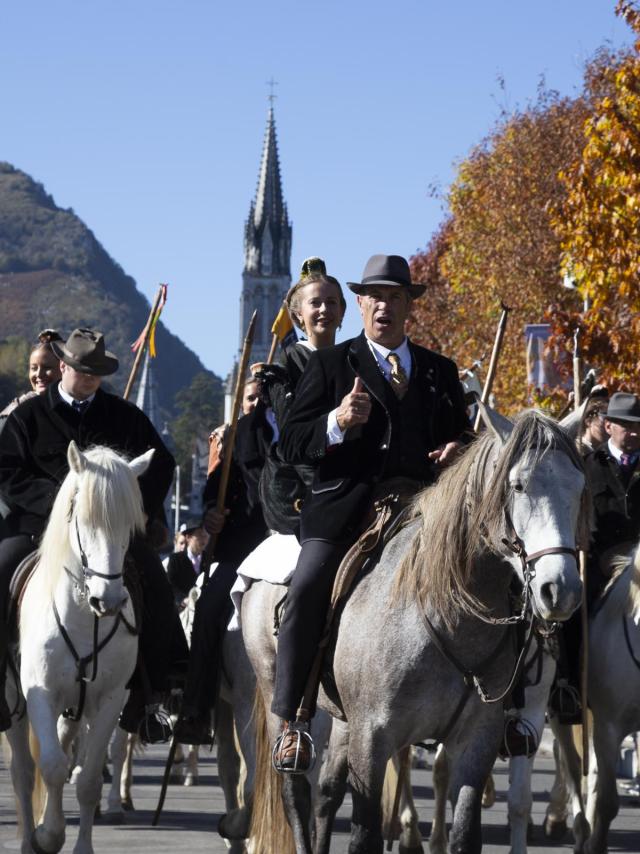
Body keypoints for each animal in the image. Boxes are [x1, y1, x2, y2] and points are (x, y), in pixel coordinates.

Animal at [5, 442, 151, 854]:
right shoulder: (39, 693)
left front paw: (77, 842)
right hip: (14, 702)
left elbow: (86, 780)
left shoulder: (112, 699)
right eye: (83, 519)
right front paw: (48, 835)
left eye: (129, 525)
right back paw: (31, 837)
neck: (87, 620)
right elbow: (51, 767)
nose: (109, 600)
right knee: (24, 772)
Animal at [242, 412, 588, 852]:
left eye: (578, 486)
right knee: (296, 792)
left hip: (344, 719)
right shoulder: (374, 740)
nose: (560, 589)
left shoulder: (476, 742)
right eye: (518, 484)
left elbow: (464, 834)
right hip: (281, 694)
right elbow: (365, 836)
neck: (450, 619)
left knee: (327, 793)